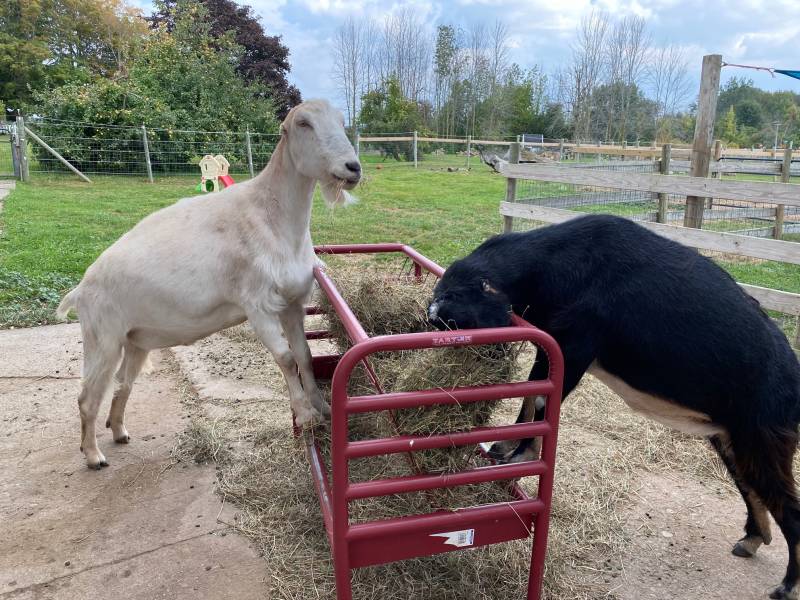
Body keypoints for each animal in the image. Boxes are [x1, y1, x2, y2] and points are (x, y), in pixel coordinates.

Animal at [59, 99, 362, 468]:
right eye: (303, 123)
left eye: (342, 121)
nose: (352, 167)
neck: (271, 215)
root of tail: (81, 289)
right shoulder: (257, 304)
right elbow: (285, 358)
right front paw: (305, 415)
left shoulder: (291, 302)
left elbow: (304, 356)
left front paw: (322, 406)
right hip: (102, 337)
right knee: (87, 396)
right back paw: (93, 455)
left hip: (135, 340)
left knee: (122, 384)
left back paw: (118, 431)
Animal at [432, 213, 800, 596]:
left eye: (459, 317)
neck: (564, 262)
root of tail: (794, 379)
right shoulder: (553, 343)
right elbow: (531, 395)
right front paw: (503, 449)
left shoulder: (577, 342)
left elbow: (541, 397)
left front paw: (520, 458)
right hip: (730, 439)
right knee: (754, 490)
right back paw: (751, 541)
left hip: (764, 439)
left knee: (789, 508)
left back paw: (786, 586)